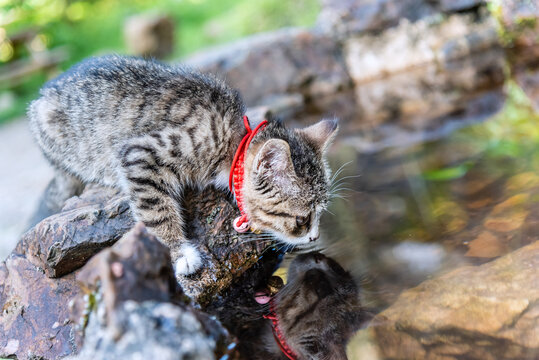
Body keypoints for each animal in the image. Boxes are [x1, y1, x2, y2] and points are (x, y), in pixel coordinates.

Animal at [29, 54, 338, 276]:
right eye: (301, 220)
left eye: (320, 213)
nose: (315, 237)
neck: (232, 138)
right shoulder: (139, 153)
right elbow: (155, 208)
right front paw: (179, 252)